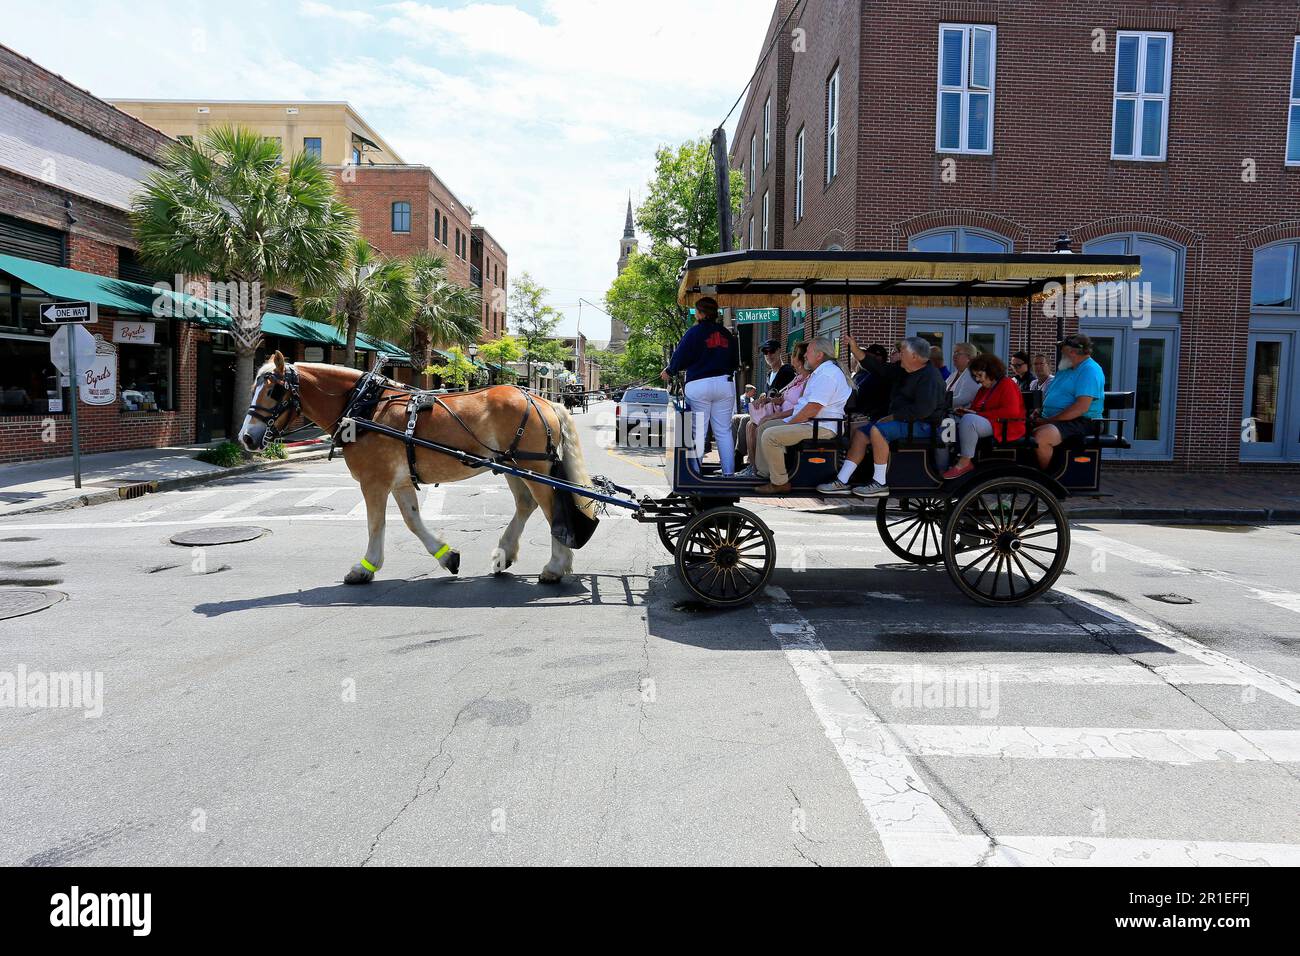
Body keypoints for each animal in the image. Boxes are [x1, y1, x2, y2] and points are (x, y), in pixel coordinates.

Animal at [236, 353, 595, 582]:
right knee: (527, 504)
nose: (246, 437)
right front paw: (447, 557)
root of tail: (545, 400)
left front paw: (365, 568)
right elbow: (411, 521)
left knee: (551, 509)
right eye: (254, 387)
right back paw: (504, 554)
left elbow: (376, 525)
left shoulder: (374, 481)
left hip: (532, 467)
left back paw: (554, 567)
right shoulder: (399, 481)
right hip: (514, 466)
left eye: (274, 390)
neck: (363, 407)